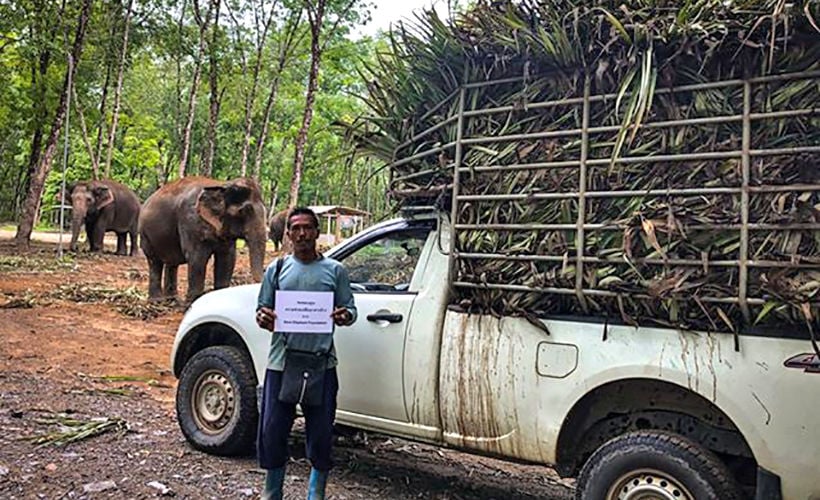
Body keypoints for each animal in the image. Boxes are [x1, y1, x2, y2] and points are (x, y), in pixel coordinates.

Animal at [139, 175, 268, 300]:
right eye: (244, 211)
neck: (221, 185)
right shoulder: (190, 220)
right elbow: (197, 257)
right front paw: (192, 301)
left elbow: (227, 258)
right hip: (145, 235)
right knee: (154, 262)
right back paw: (157, 300)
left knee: (172, 262)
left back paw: (172, 298)